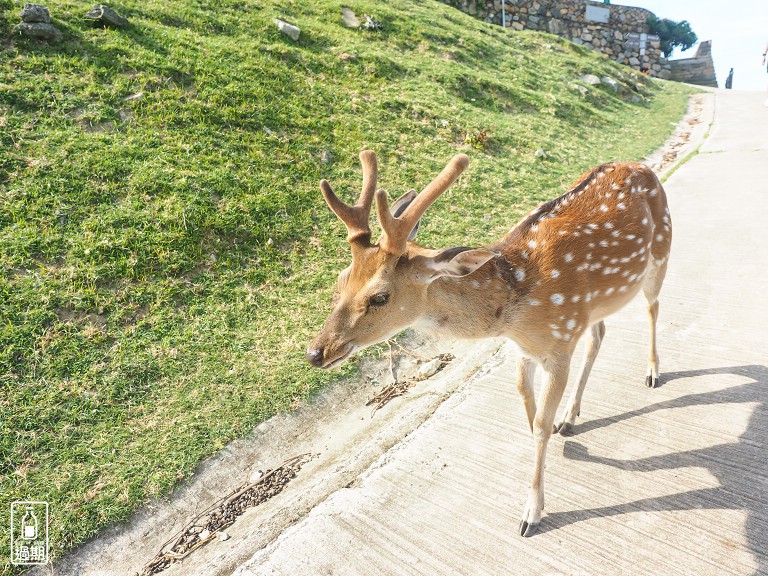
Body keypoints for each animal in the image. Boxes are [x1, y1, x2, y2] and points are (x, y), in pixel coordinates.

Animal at [306, 151, 672, 536]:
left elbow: (540, 425)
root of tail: (639, 166)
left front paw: (532, 513)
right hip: (598, 304)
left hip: (661, 252)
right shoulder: (526, 349)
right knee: (599, 335)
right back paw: (570, 417)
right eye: (341, 278)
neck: (514, 313)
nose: (316, 352)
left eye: (380, 296)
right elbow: (527, 405)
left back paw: (652, 372)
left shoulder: (560, 343)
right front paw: (557, 444)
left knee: (652, 307)